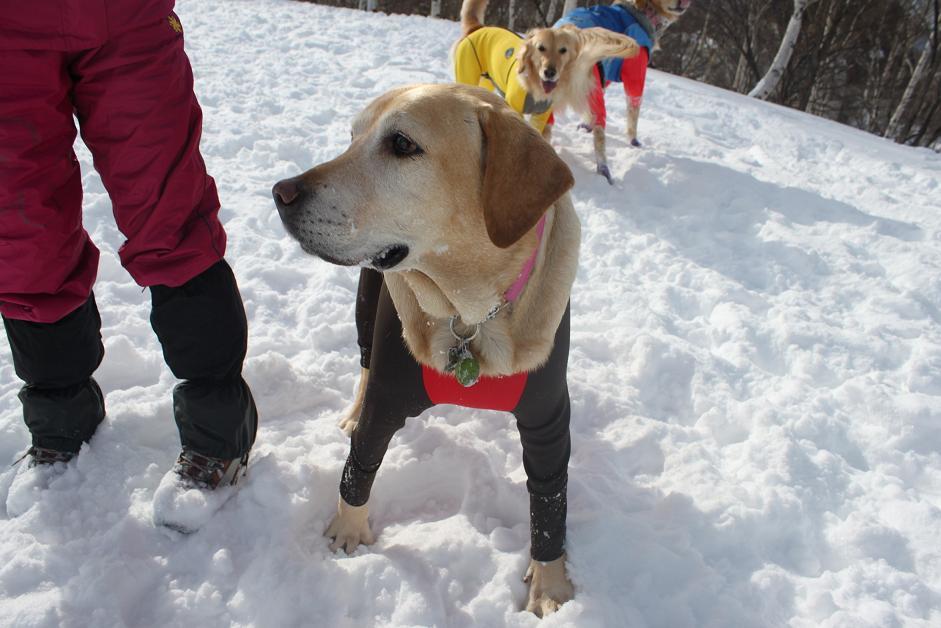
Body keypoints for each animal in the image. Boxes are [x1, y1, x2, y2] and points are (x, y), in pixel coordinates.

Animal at [272, 83, 580, 620]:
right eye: (352, 136)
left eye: (402, 144)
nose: (280, 193)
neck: (471, 313)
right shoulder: (388, 395)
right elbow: (359, 467)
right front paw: (348, 532)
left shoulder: (547, 419)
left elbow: (549, 502)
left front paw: (550, 583)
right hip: (367, 300)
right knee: (363, 361)